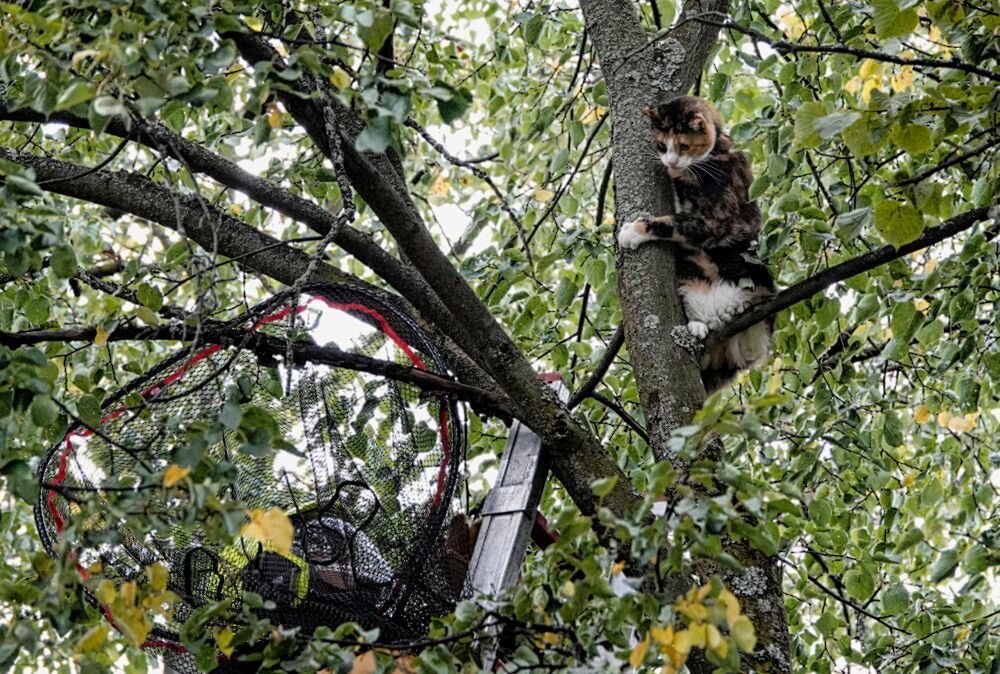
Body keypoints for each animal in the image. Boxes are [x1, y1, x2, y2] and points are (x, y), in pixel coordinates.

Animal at [616, 93, 772, 388]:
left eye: (684, 145)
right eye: (662, 144)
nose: (671, 162)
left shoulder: (713, 218)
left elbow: (672, 222)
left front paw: (633, 231)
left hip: (756, 276)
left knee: (754, 344)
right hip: (692, 273)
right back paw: (698, 326)